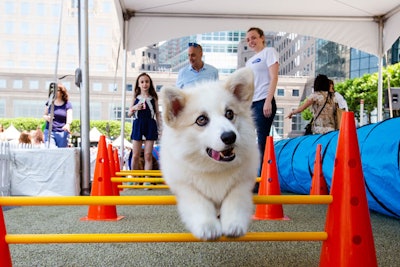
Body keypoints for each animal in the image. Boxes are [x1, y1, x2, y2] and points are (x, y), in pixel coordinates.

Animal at [159, 68, 260, 242]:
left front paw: (234, 225)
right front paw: (208, 227)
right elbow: (199, 202)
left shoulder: (243, 182)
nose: (230, 136)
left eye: (229, 113)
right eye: (201, 120)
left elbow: (235, 200)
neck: (214, 168)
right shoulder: (184, 186)